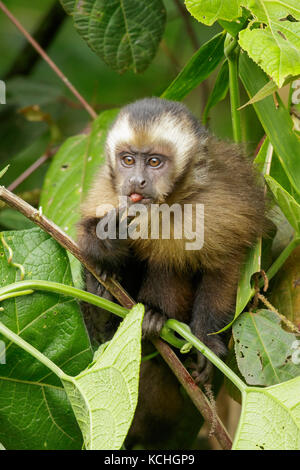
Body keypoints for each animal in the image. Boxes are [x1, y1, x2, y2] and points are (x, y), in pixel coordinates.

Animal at [77, 97, 264, 450]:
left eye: (154, 162)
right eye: (127, 160)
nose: (136, 182)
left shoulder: (220, 201)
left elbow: (224, 264)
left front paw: (207, 345)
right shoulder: (106, 193)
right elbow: (87, 239)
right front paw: (107, 243)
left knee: (168, 260)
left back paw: (155, 315)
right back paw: (103, 304)